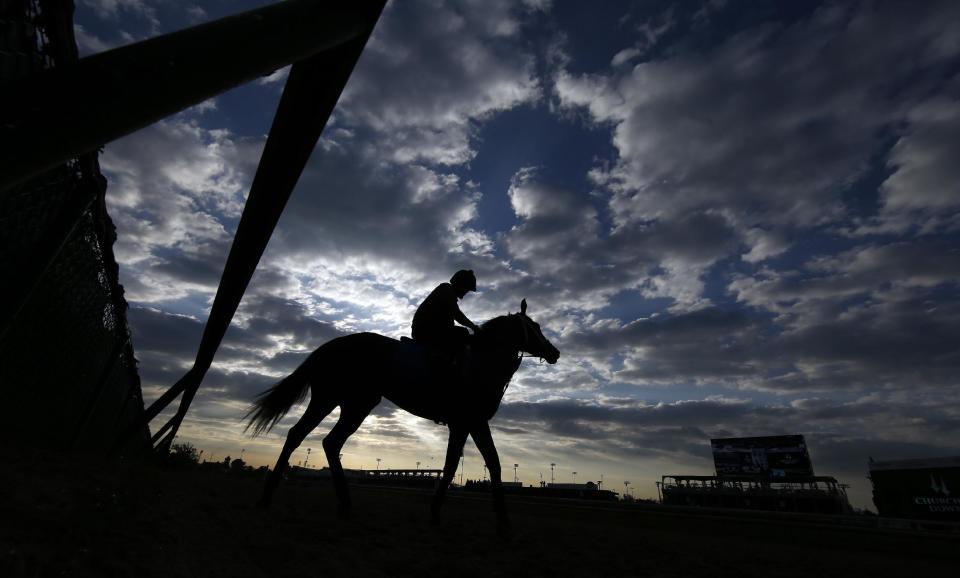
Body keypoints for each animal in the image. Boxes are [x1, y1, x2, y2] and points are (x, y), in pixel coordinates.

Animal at [248, 300, 560, 524]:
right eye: (535, 326)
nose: (555, 352)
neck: (482, 364)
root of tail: (330, 346)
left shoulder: (464, 424)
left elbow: (459, 466)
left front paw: (439, 512)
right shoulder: (472, 421)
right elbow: (485, 464)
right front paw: (501, 519)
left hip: (350, 403)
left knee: (320, 440)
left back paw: (333, 502)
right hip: (336, 399)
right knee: (308, 437)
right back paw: (275, 497)